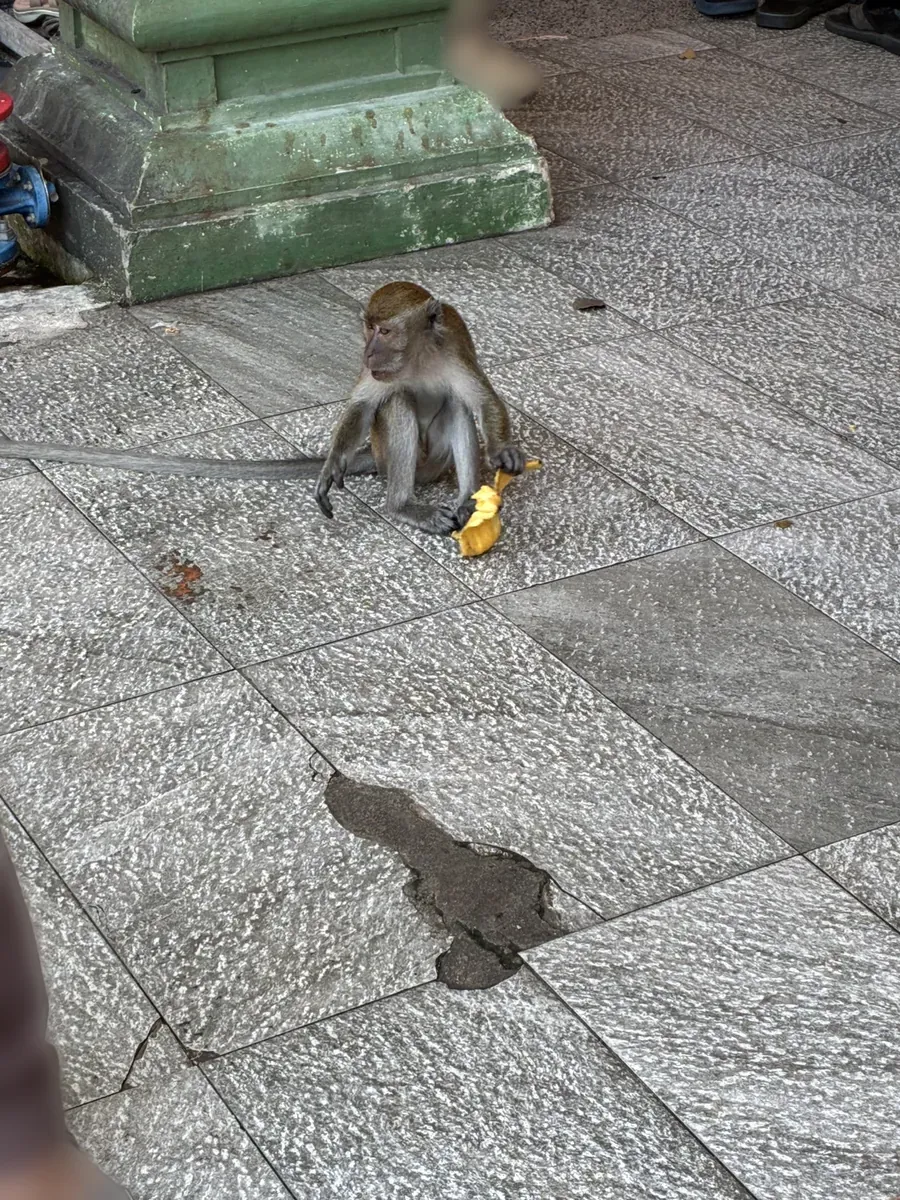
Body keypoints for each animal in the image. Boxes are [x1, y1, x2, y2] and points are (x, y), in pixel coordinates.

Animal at [0, 281, 524, 536]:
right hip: (395, 457)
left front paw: (504, 453)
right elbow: (363, 405)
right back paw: (404, 506)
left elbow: (481, 399)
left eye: (386, 330)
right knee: (395, 404)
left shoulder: (452, 348)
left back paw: (467, 498)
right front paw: (330, 467)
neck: (415, 357)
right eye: (367, 327)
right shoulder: (378, 375)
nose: (369, 352)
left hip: (432, 464)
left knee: (457, 407)